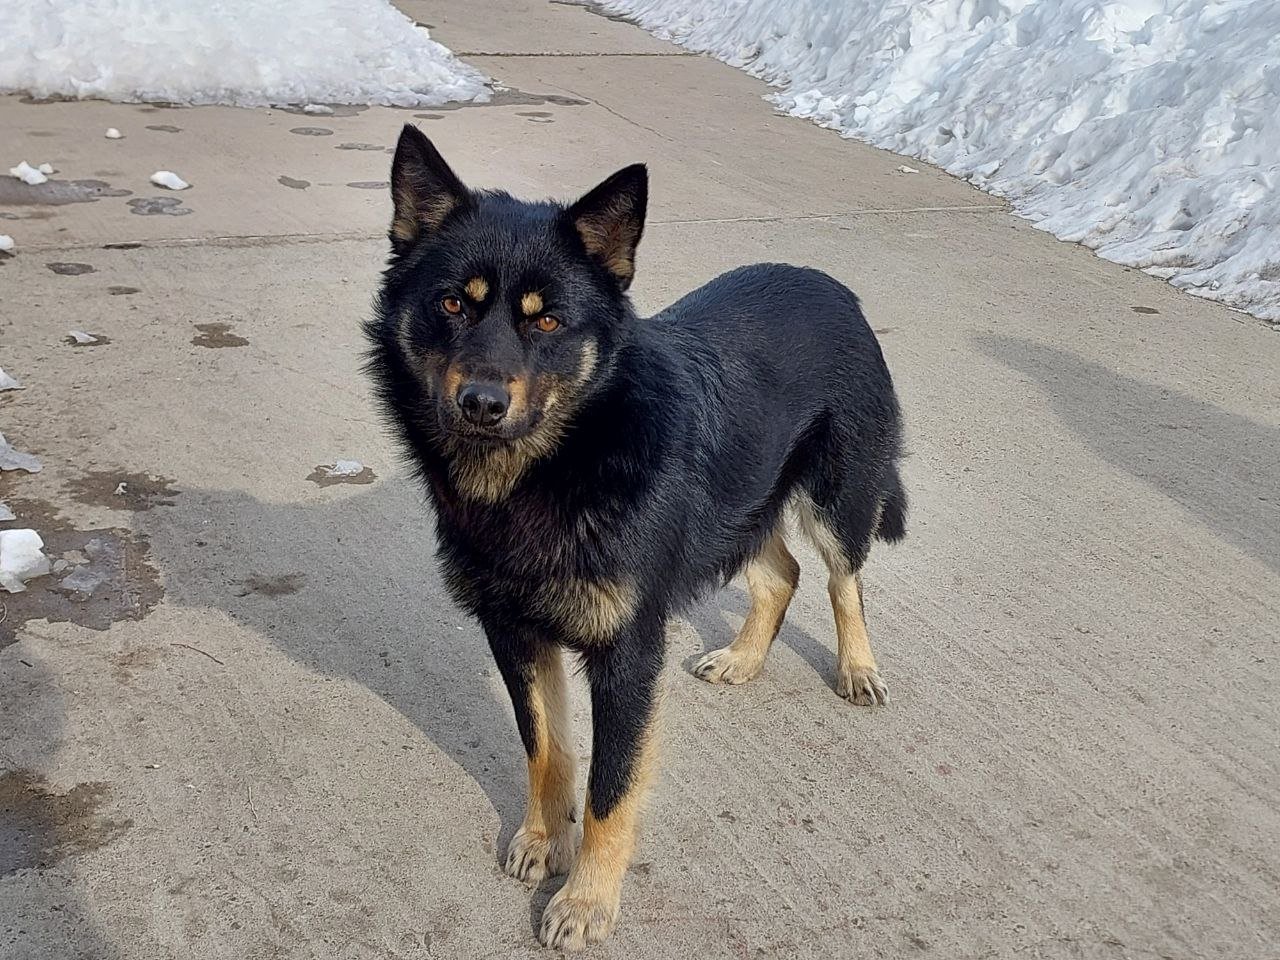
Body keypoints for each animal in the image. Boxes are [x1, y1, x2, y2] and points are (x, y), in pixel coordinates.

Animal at [363, 126, 911, 957]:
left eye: (546, 321)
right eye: (453, 303)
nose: (481, 404)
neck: (560, 461)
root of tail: (832, 287)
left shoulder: (627, 654)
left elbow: (610, 789)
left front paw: (587, 900)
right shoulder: (513, 630)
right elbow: (547, 748)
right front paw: (544, 839)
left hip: (835, 497)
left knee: (841, 580)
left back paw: (857, 669)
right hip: (737, 501)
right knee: (779, 571)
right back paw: (743, 658)